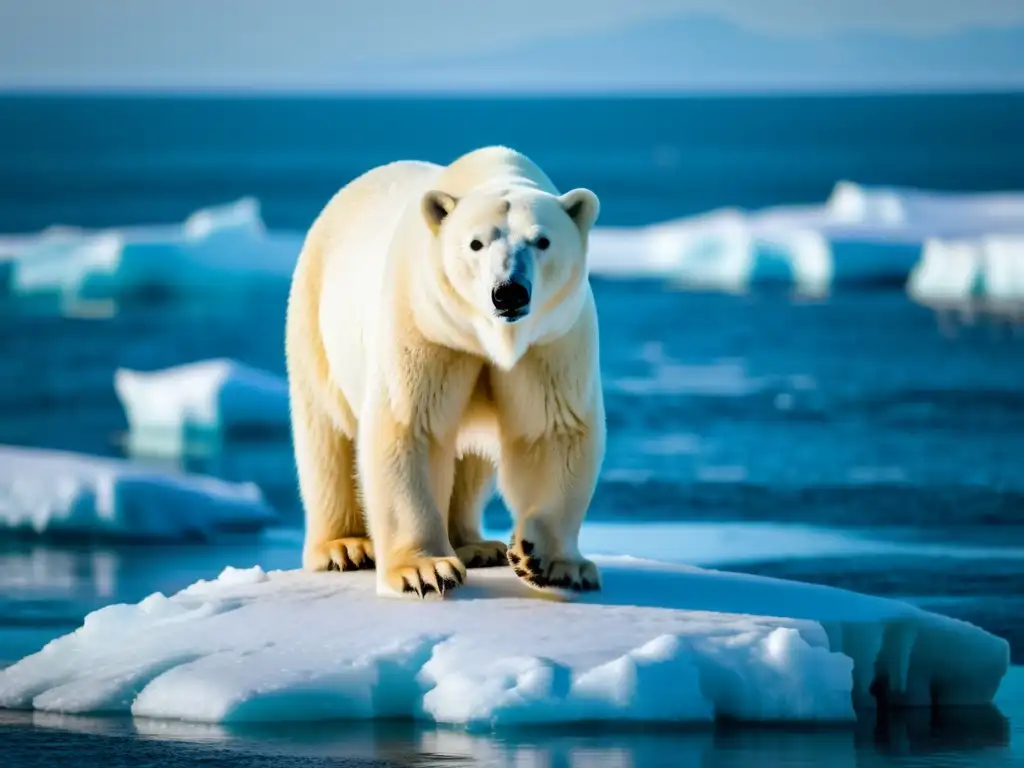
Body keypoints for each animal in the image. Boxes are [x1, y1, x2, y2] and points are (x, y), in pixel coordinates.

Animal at [286, 145, 606, 602]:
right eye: (475, 243)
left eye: (542, 240)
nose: (509, 292)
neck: (487, 337)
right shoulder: (425, 325)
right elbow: (410, 425)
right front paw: (423, 571)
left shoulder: (551, 339)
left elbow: (551, 430)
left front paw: (551, 560)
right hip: (315, 318)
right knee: (327, 436)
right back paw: (344, 546)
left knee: (469, 462)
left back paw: (477, 545)